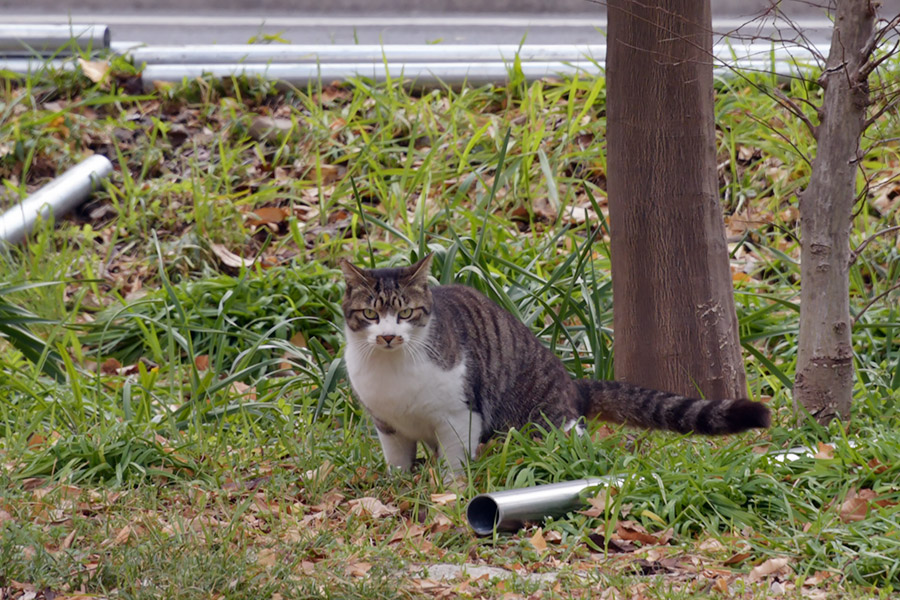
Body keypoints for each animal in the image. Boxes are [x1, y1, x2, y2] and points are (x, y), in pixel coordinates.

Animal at [342, 253, 768, 474]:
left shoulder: (458, 414)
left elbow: (455, 465)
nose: (388, 336)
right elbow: (397, 462)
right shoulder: (386, 423)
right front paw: (399, 487)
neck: (393, 370)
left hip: (544, 424)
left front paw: (449, 493)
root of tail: (571, 382)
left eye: (406, 313)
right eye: (370, 314)